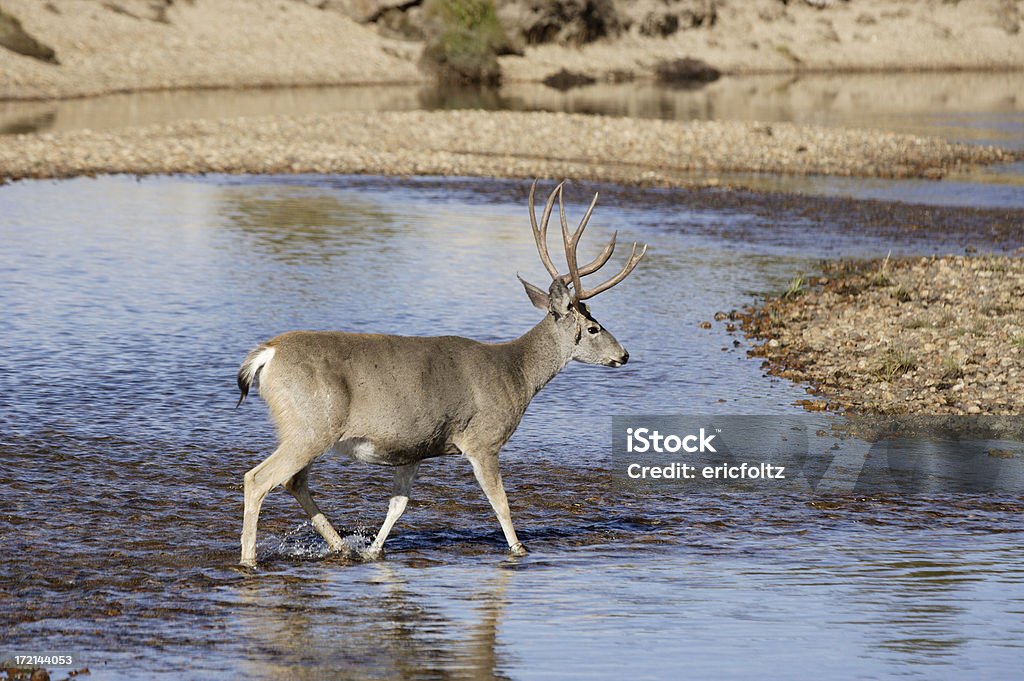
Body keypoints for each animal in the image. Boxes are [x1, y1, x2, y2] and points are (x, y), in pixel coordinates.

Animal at [235, 178, 643, 565]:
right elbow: (501, 502)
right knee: (258, 479)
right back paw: (249, 559)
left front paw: (373, 551)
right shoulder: (482, 440)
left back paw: (341, 547)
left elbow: (398, 505)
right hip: (311, 425)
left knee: (293, 481)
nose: (624, 355)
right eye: (593, 328)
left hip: (305, 429)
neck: (516, 373)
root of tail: (266, 355)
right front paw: (519, 549)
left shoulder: (414, 447)